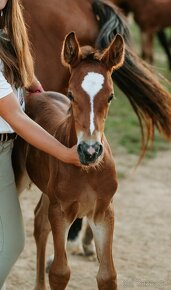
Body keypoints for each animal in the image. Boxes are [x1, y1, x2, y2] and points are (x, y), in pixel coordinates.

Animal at [13, 32, 125, 290]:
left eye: (111, 96)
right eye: (72, 94)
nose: (90, 151)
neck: (88, 171)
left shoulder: (104, 212)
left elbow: (108, 276)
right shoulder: (61, 212)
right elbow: (60, 273)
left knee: (39, 222)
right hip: (23, 179)